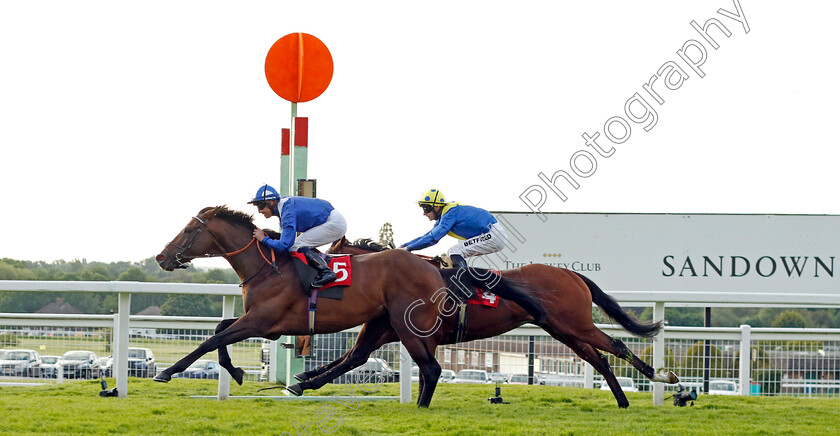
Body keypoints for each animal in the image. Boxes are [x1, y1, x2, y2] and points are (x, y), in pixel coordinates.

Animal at [152, 206, 548, 408]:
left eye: (187, 231)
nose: (161, 258)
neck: (267, 265)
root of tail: (434, 267)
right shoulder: (266, 324)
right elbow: (219, 331)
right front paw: (235, 372)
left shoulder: (262, 321)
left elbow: (210, 340)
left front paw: (166, 372)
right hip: (387, 323)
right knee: (372, 359)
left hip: (406, 324)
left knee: (430, 367)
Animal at [286, 237, 680, 408]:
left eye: (331, 258)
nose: (318, 278)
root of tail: (572, 274)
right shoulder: (385, 330)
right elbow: (350, 358)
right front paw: (304, 378)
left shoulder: (407, 332)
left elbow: (359, 360)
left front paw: (303, 380)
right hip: (561, 329)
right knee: (598, 358)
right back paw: (623, 401)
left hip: (573, 324)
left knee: (615, 345)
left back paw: (663, 378)